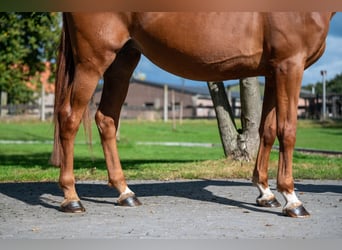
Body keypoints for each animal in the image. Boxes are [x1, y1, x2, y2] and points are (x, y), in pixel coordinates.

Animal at [50, 12, 334, 218]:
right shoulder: (289, 65)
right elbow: (288, 130)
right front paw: (292, 200)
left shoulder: (273, 71)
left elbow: (268, 130)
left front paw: (266, 193)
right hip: (92, 61)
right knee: (69, 118)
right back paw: (71, 199)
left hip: (123, 60)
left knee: (106, 120)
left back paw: (125, 193)